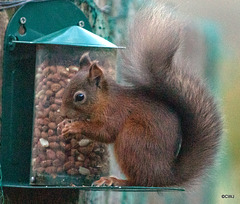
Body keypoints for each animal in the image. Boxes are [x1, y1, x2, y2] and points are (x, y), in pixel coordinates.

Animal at [59, 4, 222, 187]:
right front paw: (65, 124)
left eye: (80, 97)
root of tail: (165, 175)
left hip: (131, 139)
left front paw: (74, 126)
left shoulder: (115, 112)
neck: (104, 100)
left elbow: (105, 132)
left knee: (141, 180)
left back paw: (116, 180)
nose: (62, 113)